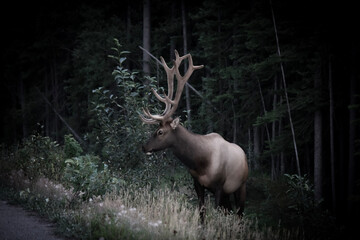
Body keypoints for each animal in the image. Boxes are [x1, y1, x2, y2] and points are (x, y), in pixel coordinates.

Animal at [139, 50, 249, 221]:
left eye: (160, 132)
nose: (144, 147)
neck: (200, 162)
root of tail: (245, 156)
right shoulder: (198, 184)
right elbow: (202, 213)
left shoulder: (219, 186)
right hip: (228, 194)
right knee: (231, 211)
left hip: (241, 186)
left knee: (240, 214)